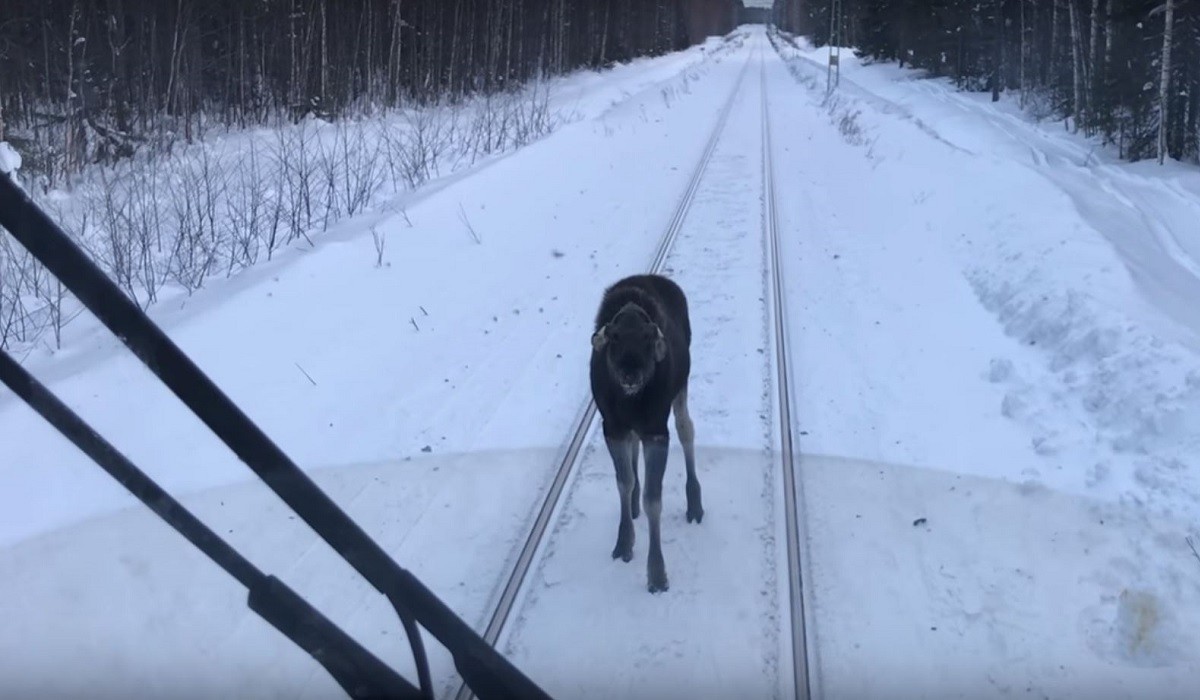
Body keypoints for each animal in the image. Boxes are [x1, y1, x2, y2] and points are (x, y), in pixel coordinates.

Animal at [590, 273, 700, 590]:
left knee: (686, 428)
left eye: (648, 338)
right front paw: (623, 543)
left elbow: (654, 500)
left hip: (681, 388)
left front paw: (657, 574)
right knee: (634, 448)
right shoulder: (612, 426)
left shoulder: (655, 429)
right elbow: (623, 482)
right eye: (614, 337)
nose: (630, 373)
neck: (630, 400)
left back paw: (695, 503)